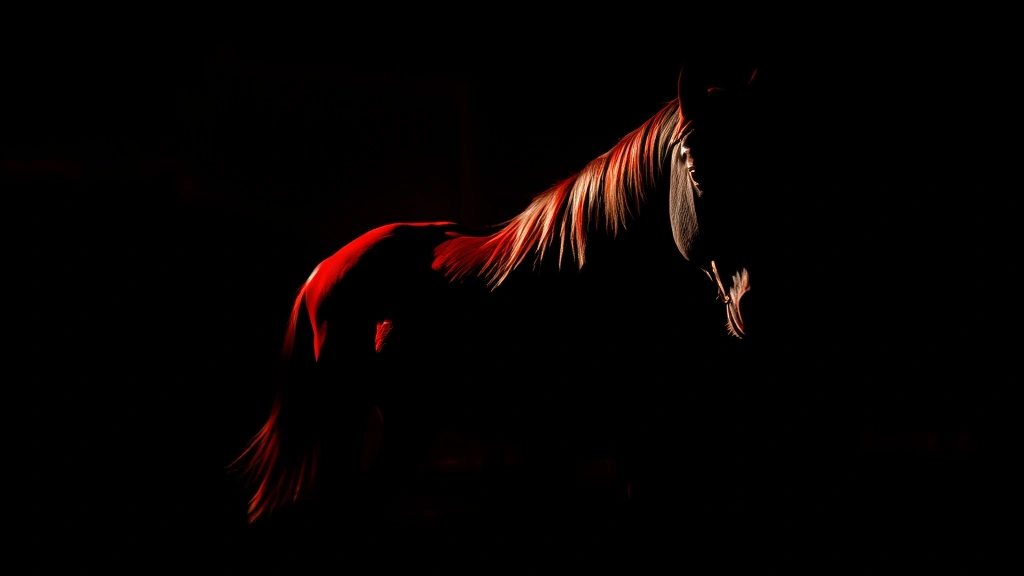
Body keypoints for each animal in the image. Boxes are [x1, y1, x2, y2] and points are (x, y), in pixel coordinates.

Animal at [231, 63, 772, 537]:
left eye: (761, 167)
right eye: (697, 171)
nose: (752, 302)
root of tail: (322, 272)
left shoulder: (646, 452)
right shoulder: (572, 448)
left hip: (410, 423)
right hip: (343, 419)